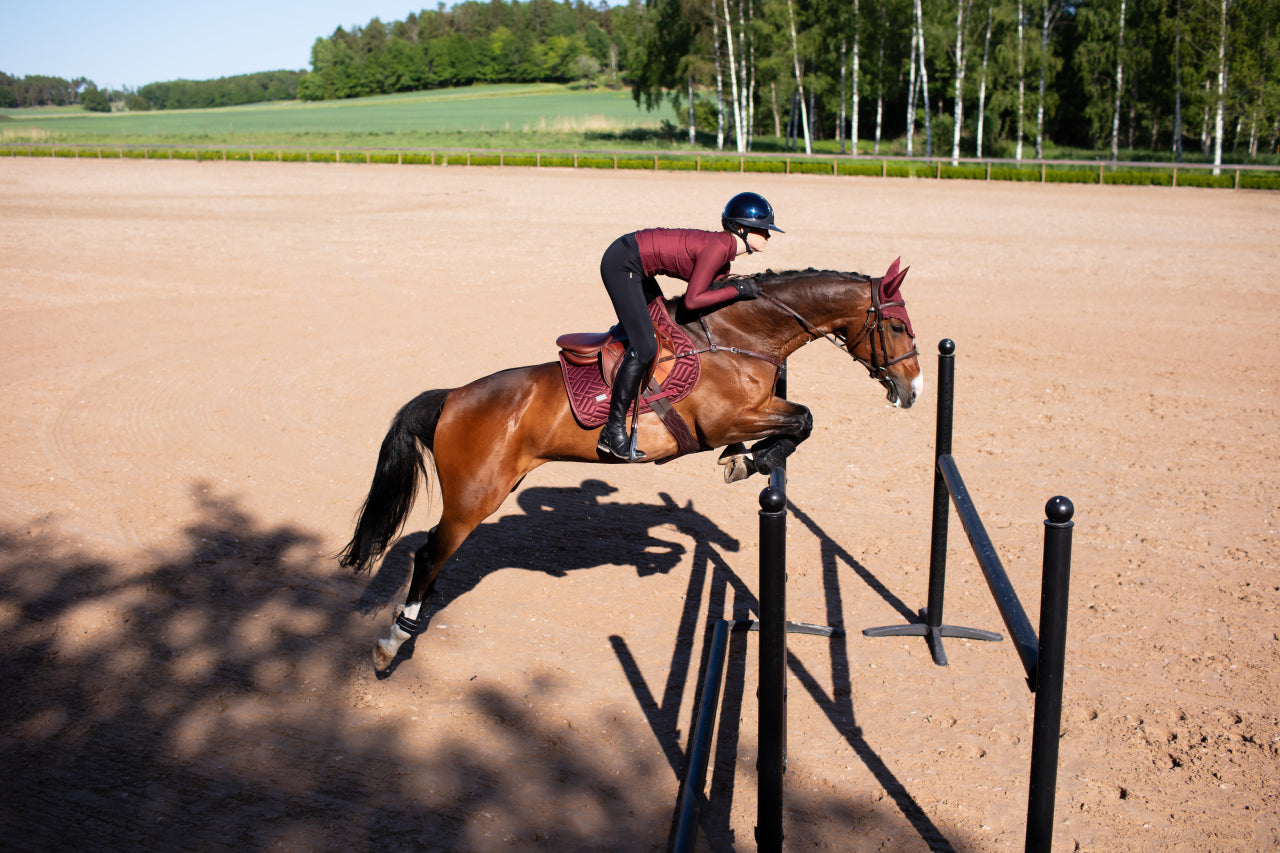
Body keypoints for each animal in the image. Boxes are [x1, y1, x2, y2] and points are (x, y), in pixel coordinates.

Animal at [340, 262, 921, 666]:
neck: (740, 337)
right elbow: (802, 421)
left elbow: (798, 420)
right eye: (896, 327)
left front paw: (746, 460)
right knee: (427, 554)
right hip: (473, 498)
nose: (912, 390)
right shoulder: (723, 422)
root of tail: (452, 398)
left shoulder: (754, 411)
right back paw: (393, 641)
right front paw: (749, 461)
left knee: (434, 559)